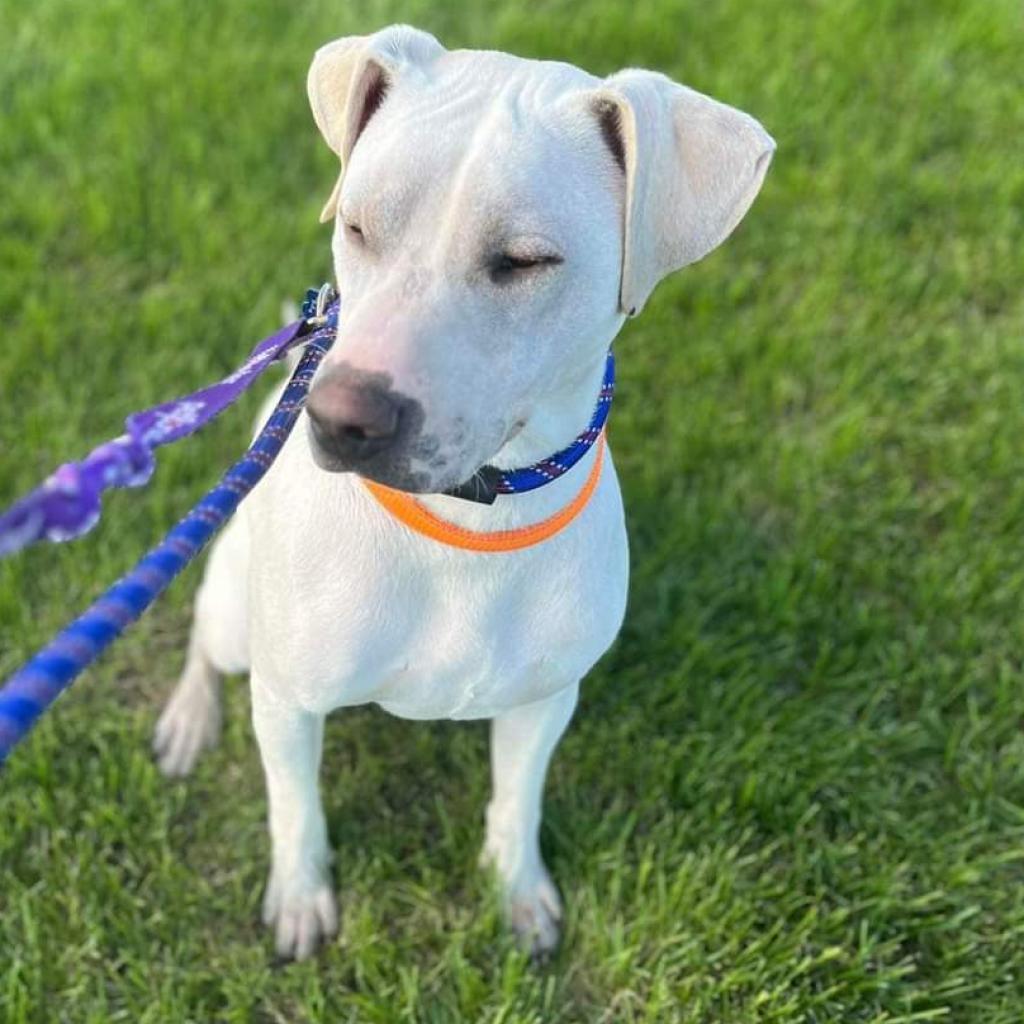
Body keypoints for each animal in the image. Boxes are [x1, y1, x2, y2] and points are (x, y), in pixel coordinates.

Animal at [151, 25, 774, 958]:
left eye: (524, 262)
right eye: (358, 224)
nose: (338, 417)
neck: (466, 517)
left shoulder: (543, 704)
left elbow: (517, 801)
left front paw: (517, 892)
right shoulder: (288, 700)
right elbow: (295, 810)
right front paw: (300, 897)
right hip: (233, 608)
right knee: (201, 635)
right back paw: (190, 719)